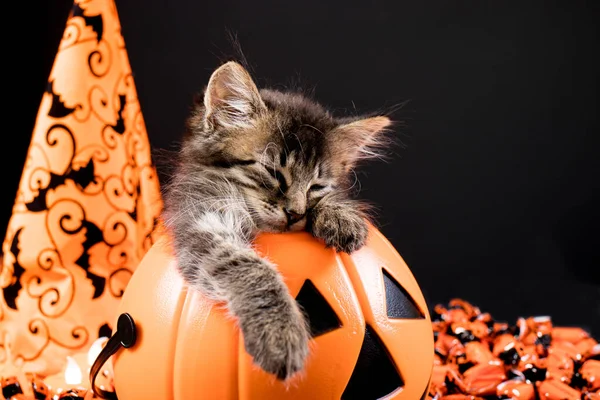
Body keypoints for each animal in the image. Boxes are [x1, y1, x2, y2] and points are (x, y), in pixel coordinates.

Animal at [162, 61, 392, 382]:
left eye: (317, 186)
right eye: (273, 172)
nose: (294, 213)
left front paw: (341, 216)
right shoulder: (206, 220)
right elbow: (252, 269)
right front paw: (279, 333)